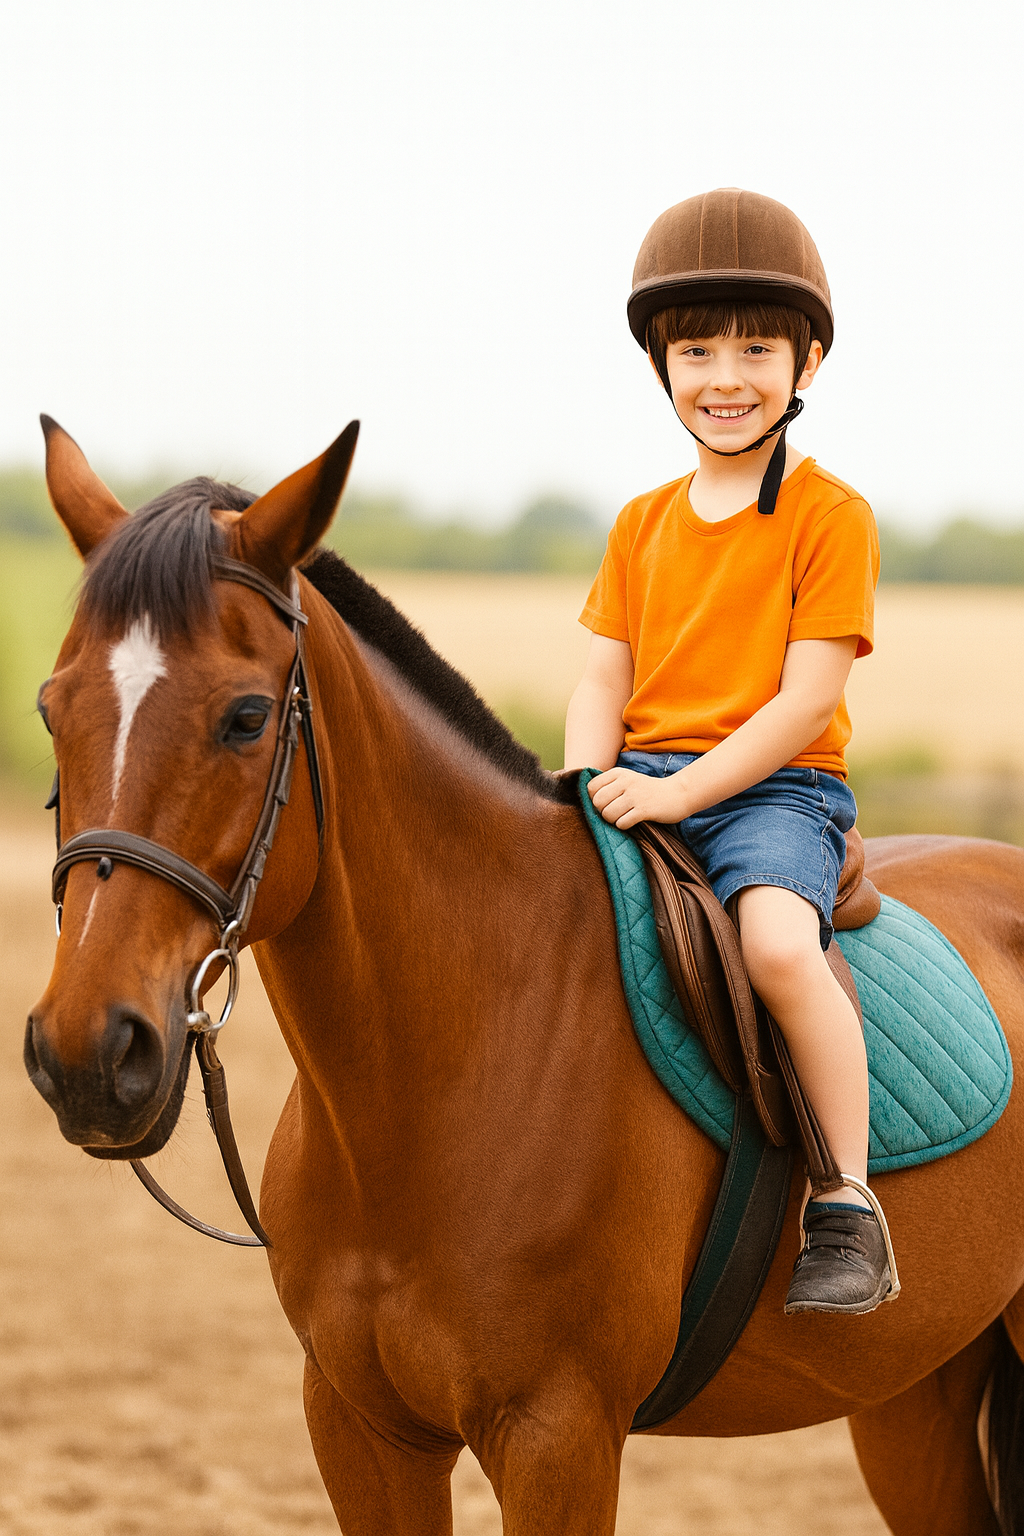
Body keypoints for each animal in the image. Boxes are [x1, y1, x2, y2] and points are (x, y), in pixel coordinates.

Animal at [25, 416, 1024, 1535]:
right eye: (52, 708)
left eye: (245, 718)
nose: (88, 1054)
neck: (439, 1076)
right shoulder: (359, 1427)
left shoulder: (559, 1435)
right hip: (912, 1392)